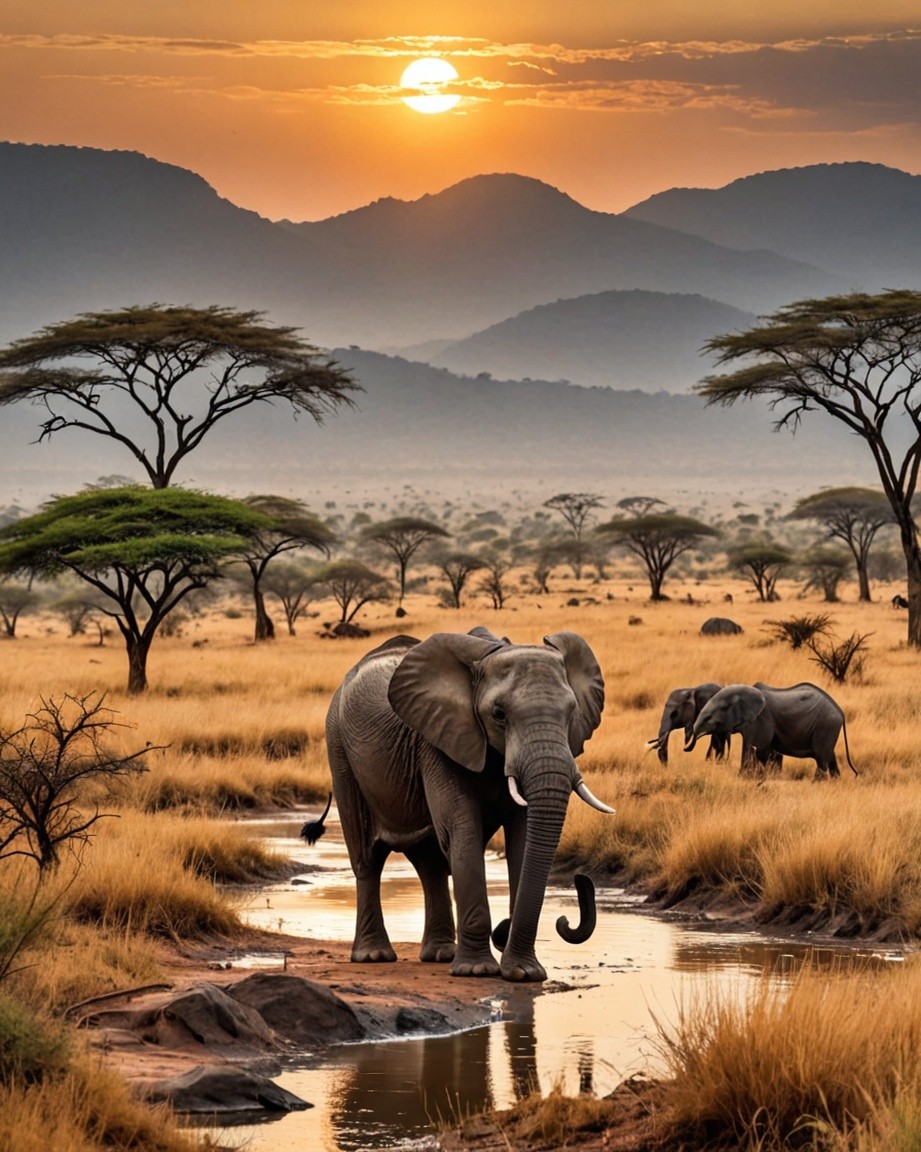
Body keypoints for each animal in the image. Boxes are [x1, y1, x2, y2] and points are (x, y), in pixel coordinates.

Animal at [305, 627, 613, 983]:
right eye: (499, 715)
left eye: (571, 712)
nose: (581, 883)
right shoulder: (438, 742)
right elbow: (462, 829)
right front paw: (477, 971)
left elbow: (522, 838)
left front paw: (524, 972)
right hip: (338, 747)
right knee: (368, 857)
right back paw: (374, 956)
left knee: (429, 861)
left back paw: (440, 955)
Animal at [686, 682, 858, 780]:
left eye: (722, 709)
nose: (687, 748)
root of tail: (840, 712)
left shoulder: (761, 719)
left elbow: (757, 747)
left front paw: (744, 778)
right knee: (829, 757)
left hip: (826, 725)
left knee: (821, 757)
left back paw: (816, 783)